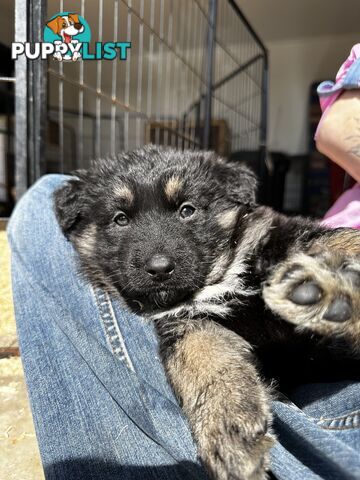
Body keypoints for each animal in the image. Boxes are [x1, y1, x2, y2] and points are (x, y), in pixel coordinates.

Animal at [53, 146, 360, 480]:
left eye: (187, 210)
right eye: (120, 219)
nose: (159, 269)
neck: (216, 280)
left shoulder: (278, 235)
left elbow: (330, 238)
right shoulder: (185, 322)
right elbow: (203, 358)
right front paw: (228, 425)